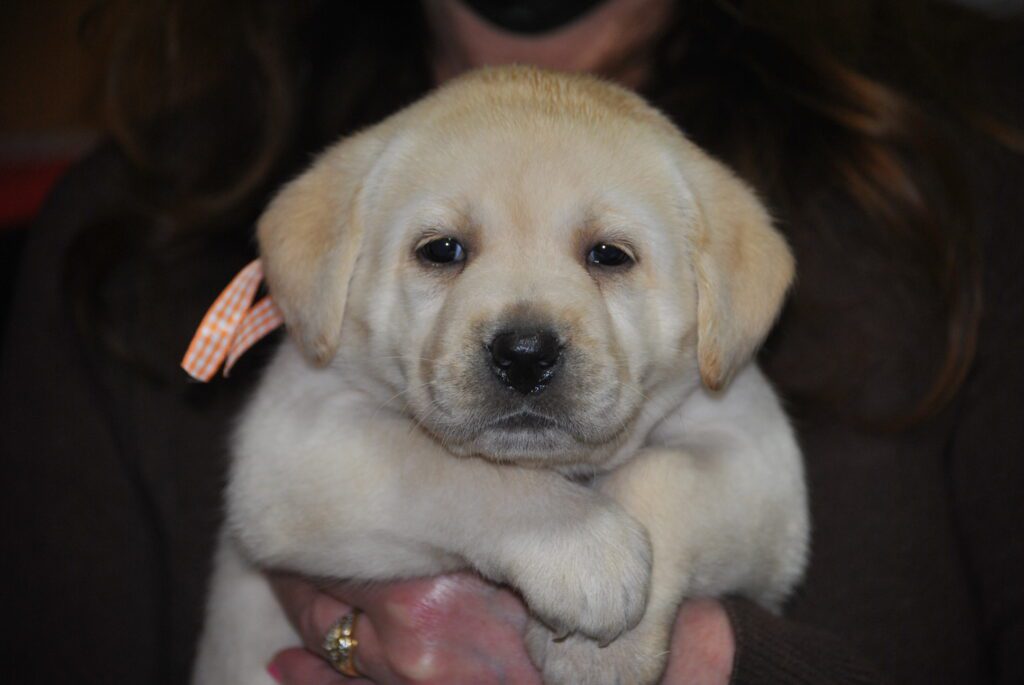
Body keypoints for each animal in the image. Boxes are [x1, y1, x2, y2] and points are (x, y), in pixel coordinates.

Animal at [192, 65, 806, 683]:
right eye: (442, 250)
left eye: (609, 255)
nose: (525, 355)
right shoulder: (292, 446)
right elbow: (441, 465)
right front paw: (586, 551)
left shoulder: (755, 460)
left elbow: (666, 475)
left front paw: (601, 652)